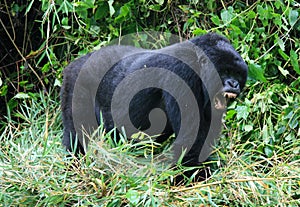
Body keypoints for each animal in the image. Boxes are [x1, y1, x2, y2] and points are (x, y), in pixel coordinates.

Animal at [61, 32, 248, 175]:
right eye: (225, 71)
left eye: (238, 74)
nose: (234, 84)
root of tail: (77, 61)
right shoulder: (182, 72)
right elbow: (191, 140)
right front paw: (198, 177)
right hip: (75, 81)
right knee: (77, 134)